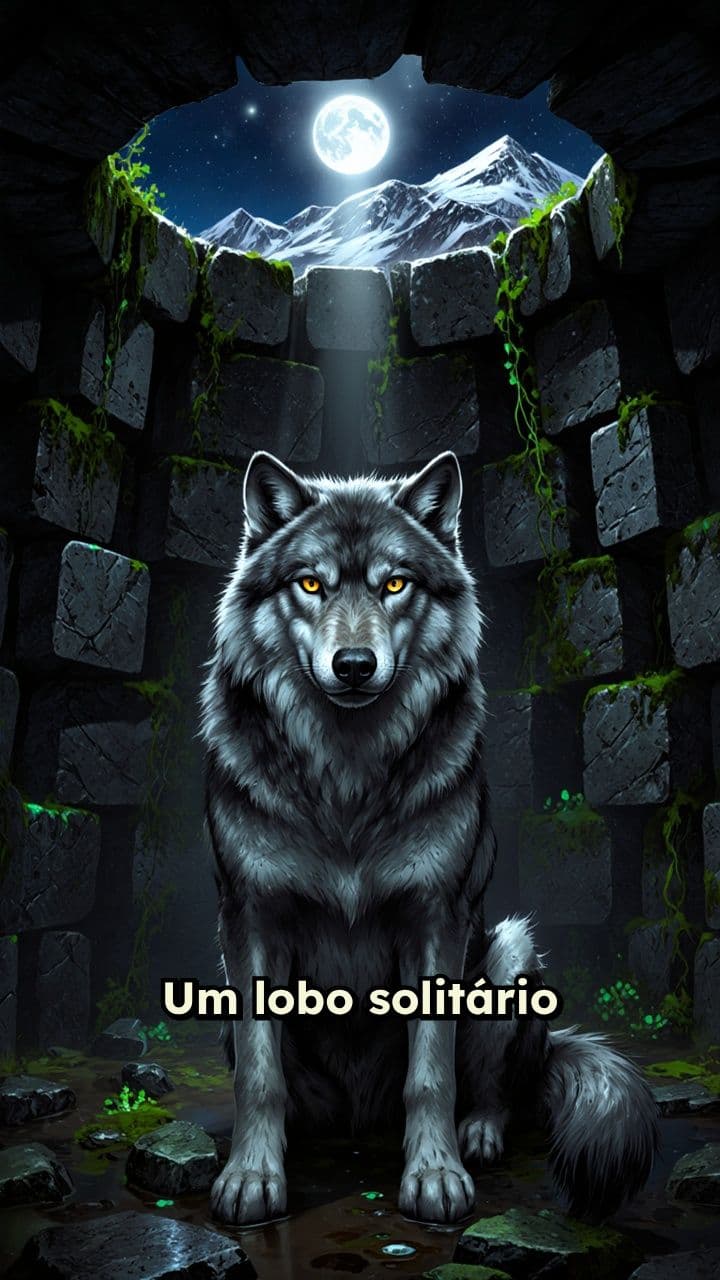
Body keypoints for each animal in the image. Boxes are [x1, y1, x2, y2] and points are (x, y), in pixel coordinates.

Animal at [200, 449, 658, 1227]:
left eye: (395, 583)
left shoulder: (437, 919)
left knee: (496, 1092)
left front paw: (436, 1177)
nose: (355, 665)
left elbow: (432, 1072)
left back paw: (478, 1136)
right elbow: (259, 1078)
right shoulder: (249, 918)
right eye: (311, 583)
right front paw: (252, 1178)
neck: (348, 775)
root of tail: (363, 1123)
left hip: (509, 951)